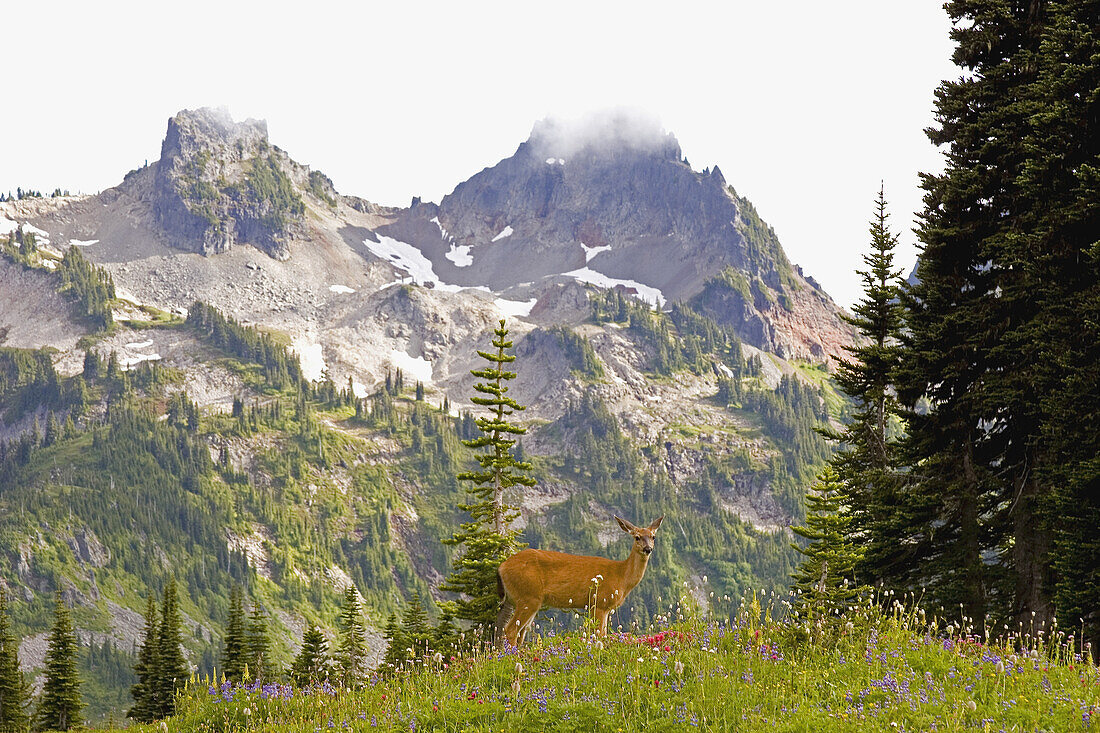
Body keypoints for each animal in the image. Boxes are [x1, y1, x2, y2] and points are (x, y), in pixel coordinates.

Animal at [497, 512, 660, 647]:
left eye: (653, 536)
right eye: (637, 537)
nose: (648, 549)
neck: (621, 575)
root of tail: (501, 567)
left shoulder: (605, 607)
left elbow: (603, 635)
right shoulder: (599, 602)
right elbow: (599, 636)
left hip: (529, 600)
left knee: (520, 632)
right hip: (528, 596)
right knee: (510, 630)